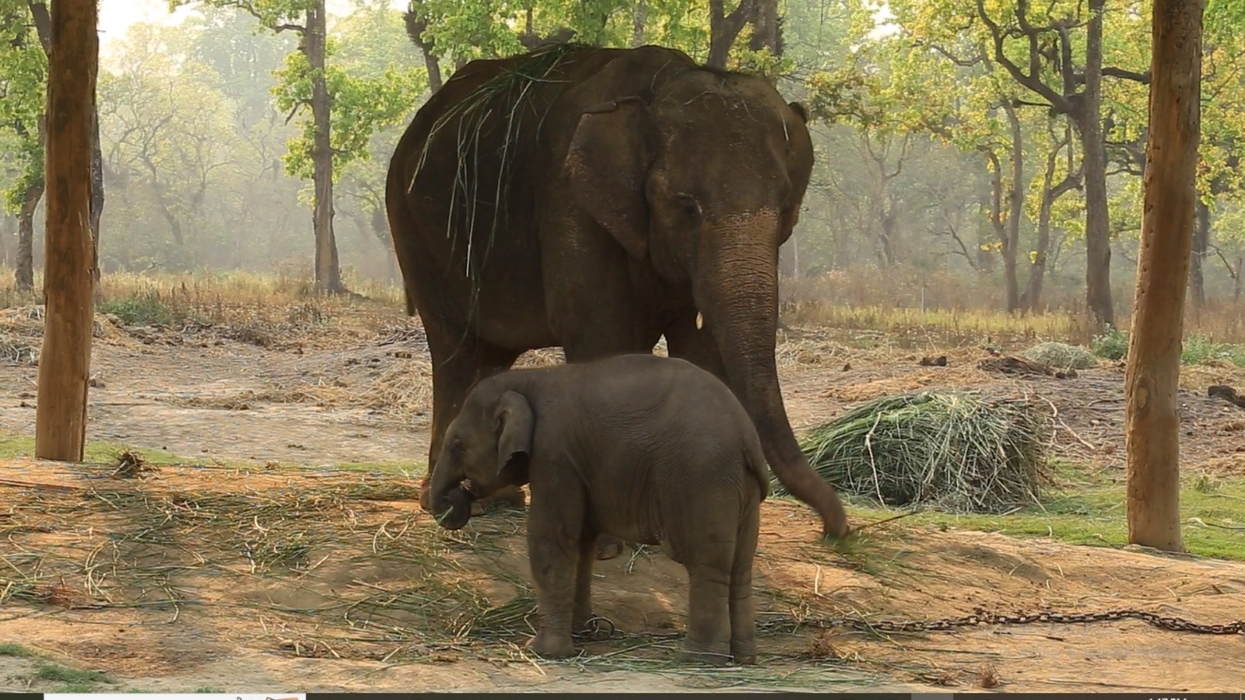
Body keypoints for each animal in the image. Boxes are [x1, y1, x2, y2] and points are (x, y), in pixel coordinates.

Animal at [385, 40, 856, 535]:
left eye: (786, 210)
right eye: (687, 207)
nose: (837, 531)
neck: (659, 88)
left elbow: (703, 350)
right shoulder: (571, 203)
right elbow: (602, 334)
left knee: (492, 355)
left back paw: (497, 498)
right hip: (411, 227)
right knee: (454, 348)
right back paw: (448, 504)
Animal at [428, 351, 766, 662]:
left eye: (457, 445)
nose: (459, 497)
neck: (529, 379)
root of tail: (745, 432)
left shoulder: (554, 455)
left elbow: (550, 539)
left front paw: (542, 651)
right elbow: (581, 543)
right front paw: (582, 633)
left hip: (701, 479)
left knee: (706, 562)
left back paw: (699, 659)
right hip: (741, 487)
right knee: (741, 566)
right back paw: (744, 657)